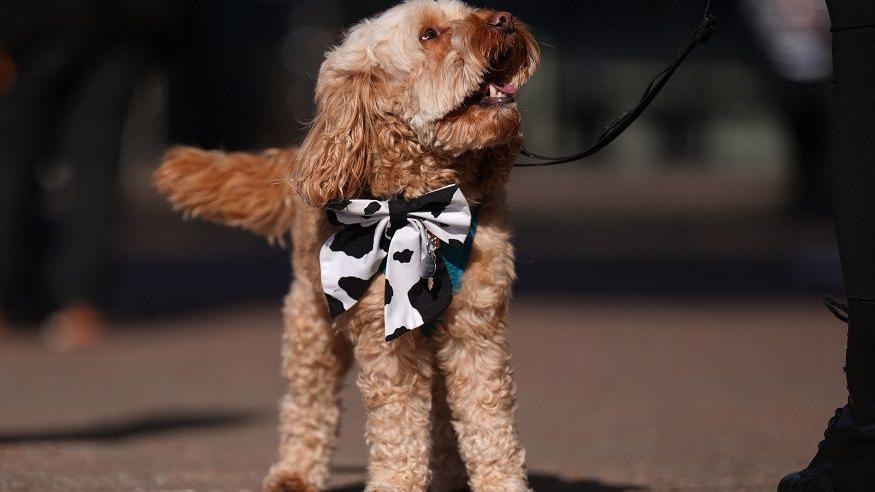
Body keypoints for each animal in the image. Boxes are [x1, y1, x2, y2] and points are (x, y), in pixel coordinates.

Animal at [156, 1, 540, 490]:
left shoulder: (477, 329)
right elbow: (399, 427)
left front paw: (500, 482)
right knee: (309, 401)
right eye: (429, 35)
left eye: (470, 11)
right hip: (311, 323)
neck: (421, 206)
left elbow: (489, 423)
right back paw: (295, 472)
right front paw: (396, 482)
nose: (504, 20)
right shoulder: (388, 340)